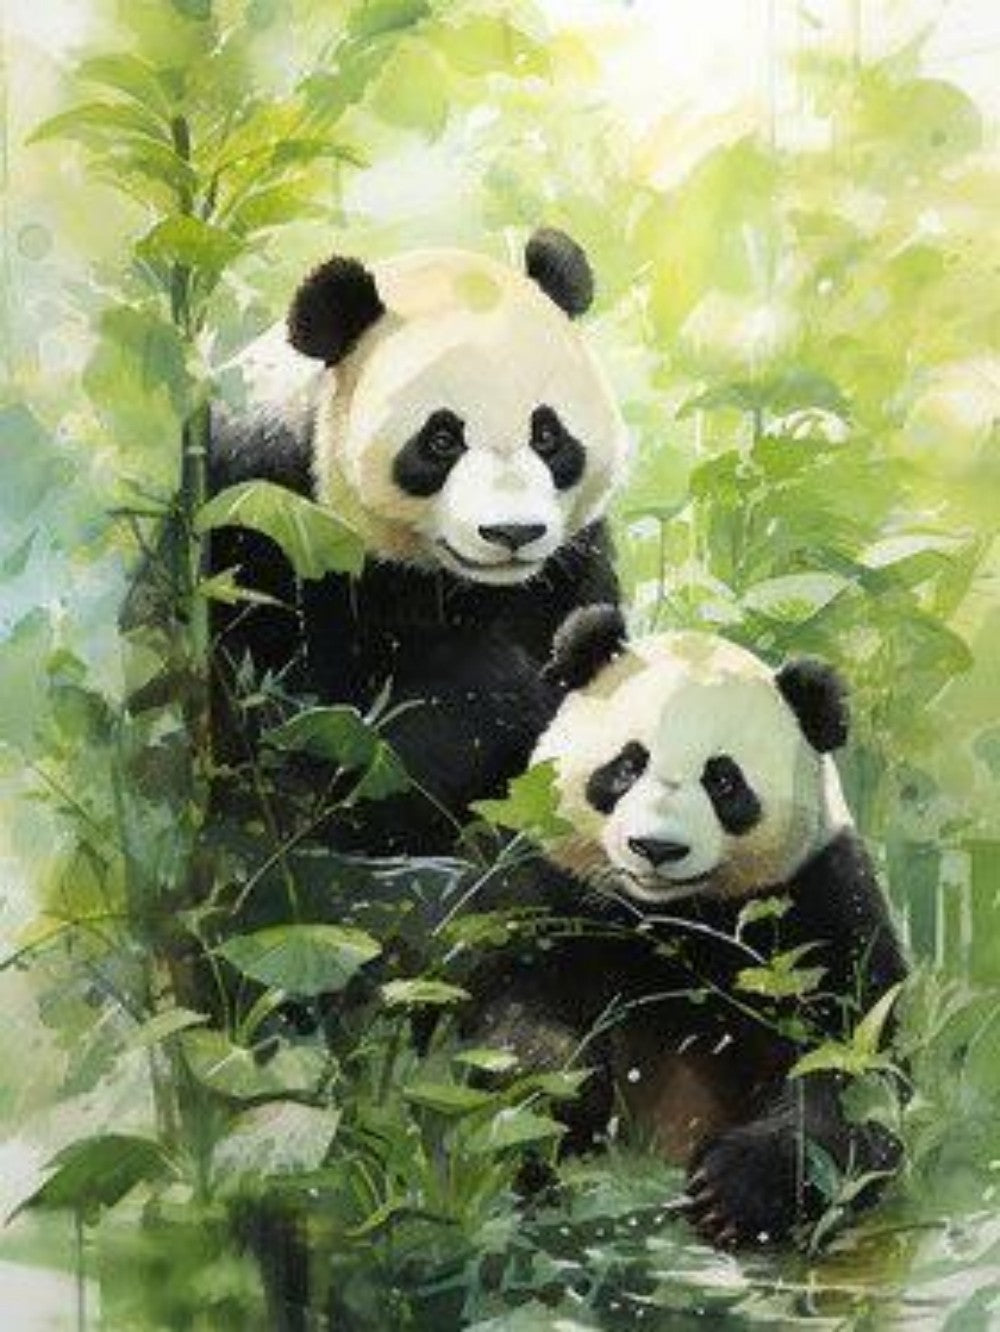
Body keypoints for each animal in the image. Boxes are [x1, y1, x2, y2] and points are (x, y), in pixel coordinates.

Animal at [208, 230, 628, 851]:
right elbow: (325, 740)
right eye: (441, 439)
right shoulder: (267, 529)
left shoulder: (567, 569)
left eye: (547, 434)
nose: (512, 533)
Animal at [466, 605, 908, 1247]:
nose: (656, 848)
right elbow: (511, 1014)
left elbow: (853, 1068)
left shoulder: (823, 904)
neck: (673, 915)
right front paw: (564, 1096)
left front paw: (731, 1190)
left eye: (723, 781)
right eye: (627, 765)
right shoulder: (550, 894)